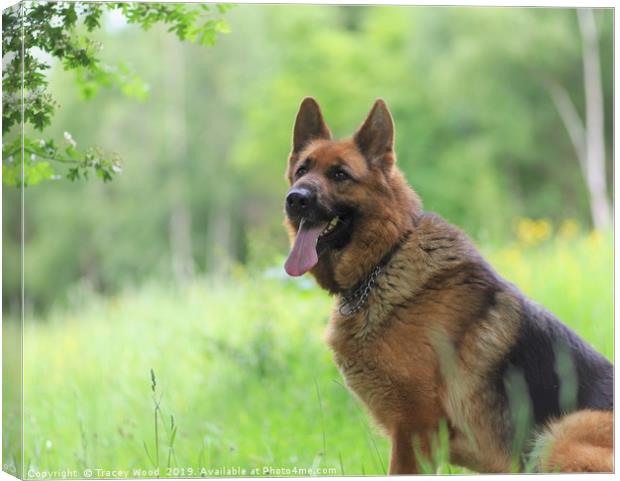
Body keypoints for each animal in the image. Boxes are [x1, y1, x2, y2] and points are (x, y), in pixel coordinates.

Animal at [284, 97, 612, 472]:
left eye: (340, 174)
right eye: (302, 170)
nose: (295, 199)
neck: (385, 261)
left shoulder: (415, 428)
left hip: (555, 440)